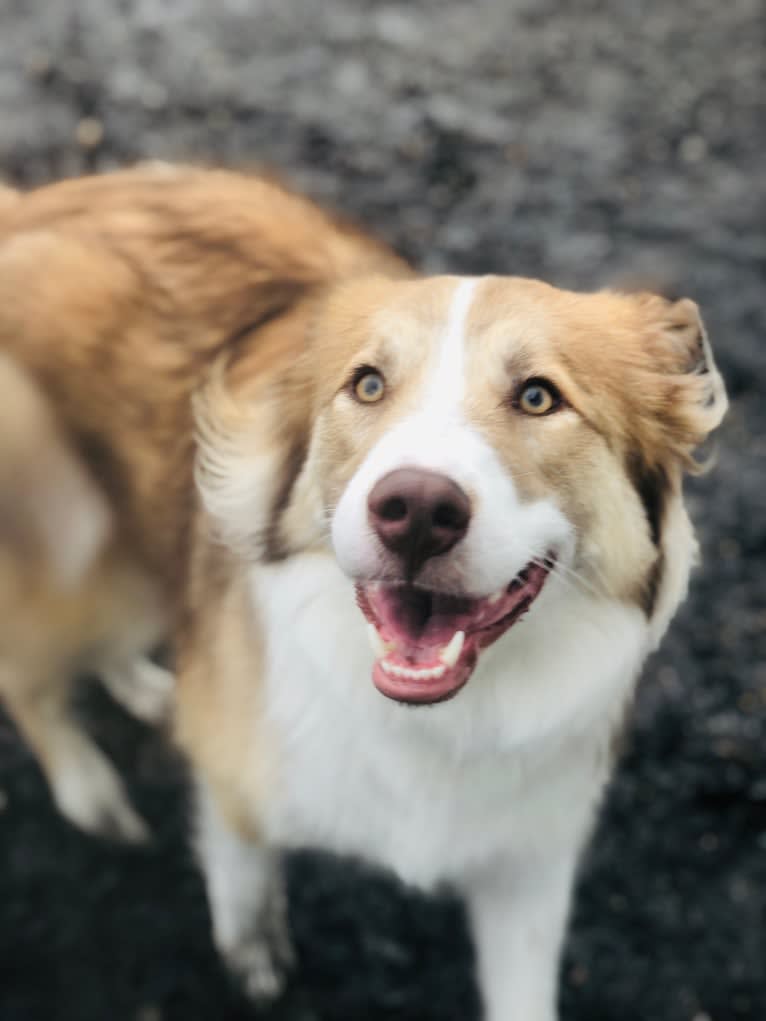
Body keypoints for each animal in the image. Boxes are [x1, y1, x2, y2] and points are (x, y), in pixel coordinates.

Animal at [0, 163, 727, 1016]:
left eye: (538, 396)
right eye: (369, 384)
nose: (416, 510)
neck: (432, 725)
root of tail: (26, 206)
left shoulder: (529, 861)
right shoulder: (240, 784)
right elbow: (243, 878)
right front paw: (252, 951)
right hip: (78, 539)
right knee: (27, 671)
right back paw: (90, 789)